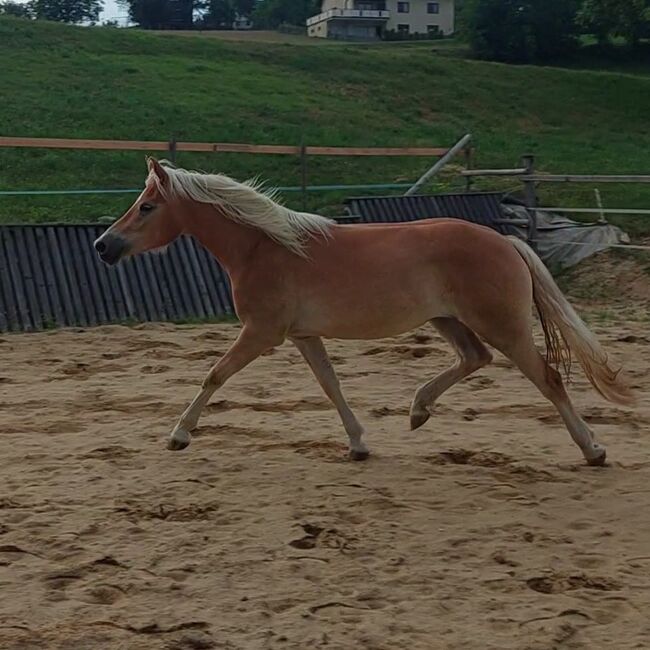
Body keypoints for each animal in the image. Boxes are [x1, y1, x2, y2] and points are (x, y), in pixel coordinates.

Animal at [93, 157, 632, 466]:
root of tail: (505, 240)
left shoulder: (261, 333)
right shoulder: (302, 335)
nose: (102, 247)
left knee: (548, 377)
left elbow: (214, 375)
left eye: (146, 206)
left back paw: (594, 450)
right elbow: (330, 385)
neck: (263, 247)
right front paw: (358, 444)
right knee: (475, 359)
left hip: (503, 324)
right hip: (449, 320)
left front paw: (179, 434)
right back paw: (418, 411)